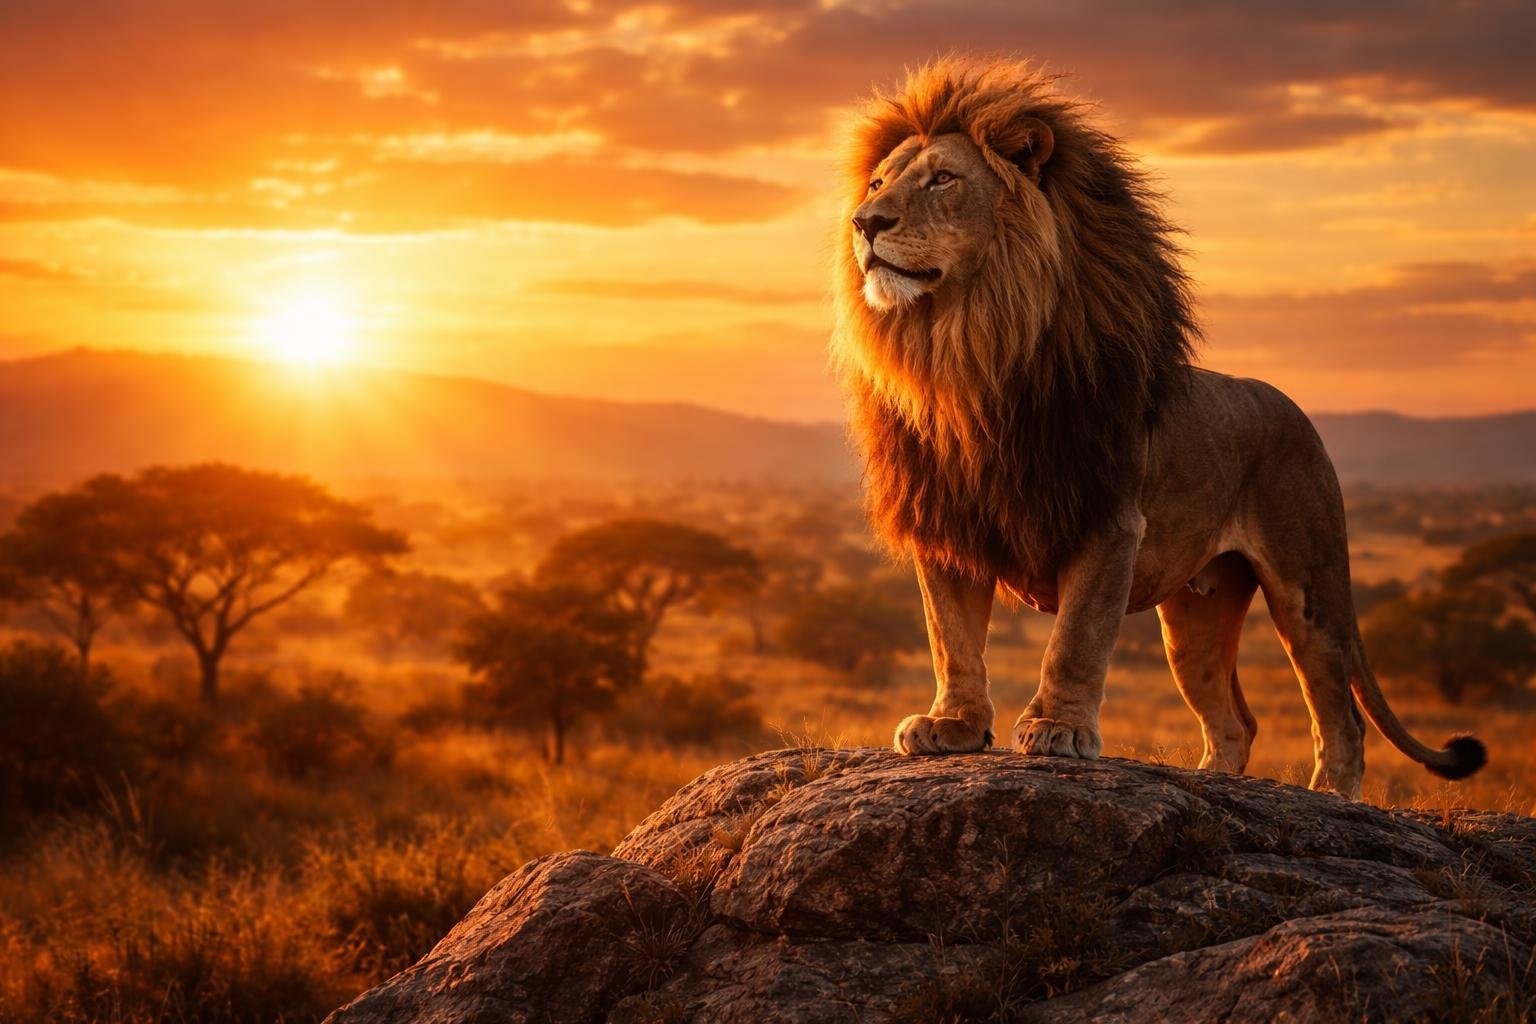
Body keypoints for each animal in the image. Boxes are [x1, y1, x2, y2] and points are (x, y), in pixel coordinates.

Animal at [832, 57, 1485, 798]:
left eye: (943, 179)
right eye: (879, 183)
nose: (864, 222)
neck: (964, 354)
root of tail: (1296, 411)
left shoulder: (1108, 520)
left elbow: (1077, 638)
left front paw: (1057, 731)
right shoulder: (947, 523)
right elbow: (953, 639)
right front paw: (954, 727)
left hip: (1308, 588)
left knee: (1340, 714)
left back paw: (1331, 798)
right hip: (1195, 621)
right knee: (1236, 722)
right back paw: (1215, 784)